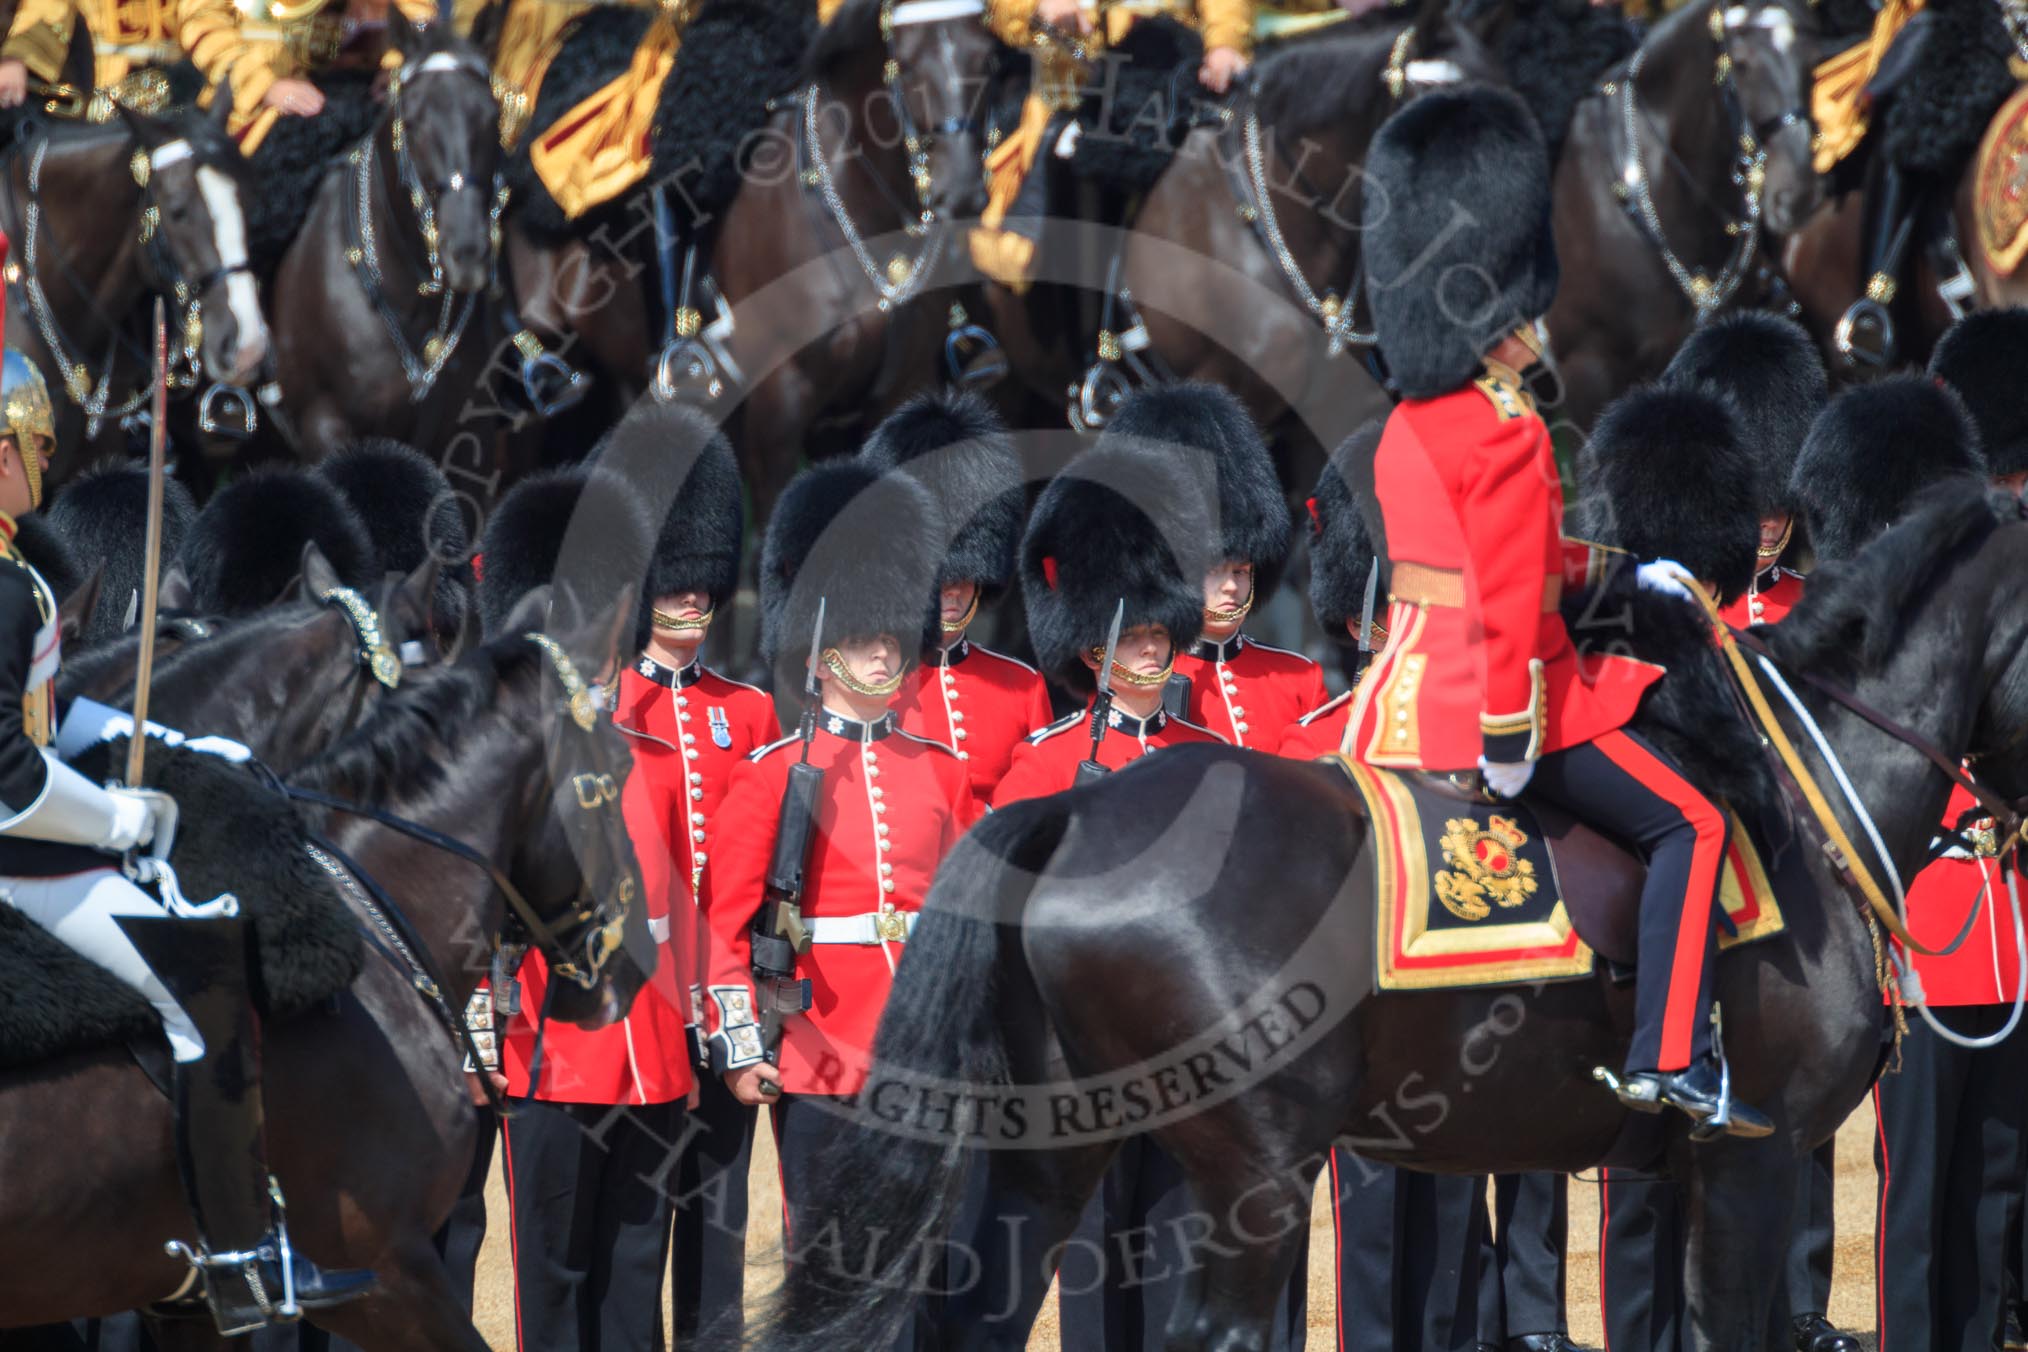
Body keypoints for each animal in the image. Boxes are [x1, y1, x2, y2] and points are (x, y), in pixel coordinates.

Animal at [754, 484, 2028, 1352]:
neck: (1804, 805)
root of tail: (1067, 815)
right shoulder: (1745, 1154)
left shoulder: (1695, 1170)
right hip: (1257, 1166)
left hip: (1065, 1145)